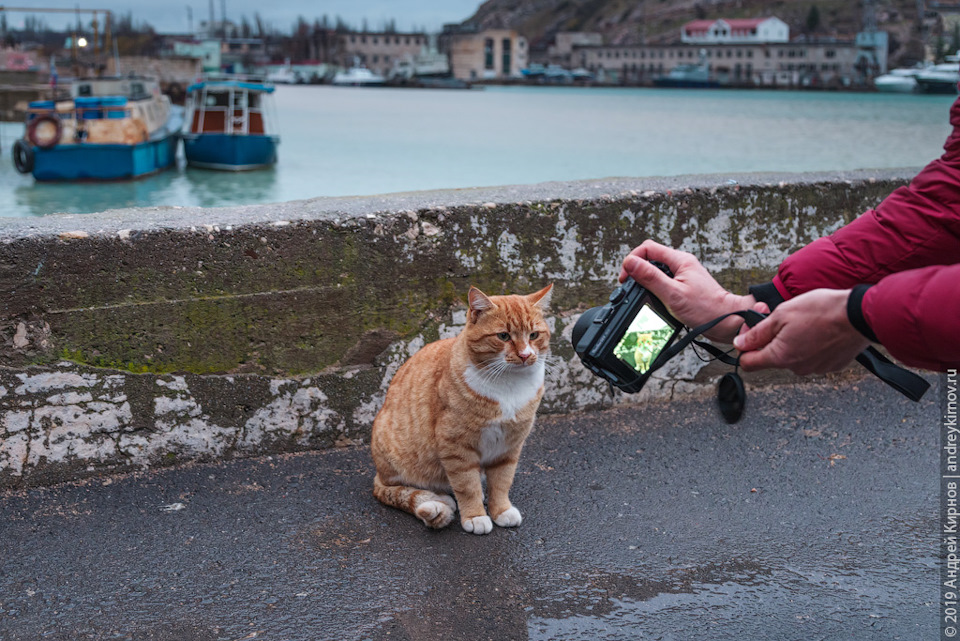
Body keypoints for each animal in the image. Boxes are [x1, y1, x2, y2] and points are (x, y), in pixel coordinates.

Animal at [376, 284, 556, 536]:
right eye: (503, 336)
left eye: (533, 335)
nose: (525, 355)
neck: (510, 386)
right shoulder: (456, 447)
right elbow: (467, 485)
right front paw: (475, 516)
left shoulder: (509, 446)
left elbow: (502, 482)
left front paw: (501, 510)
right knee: (397, 488)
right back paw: (437, 499)